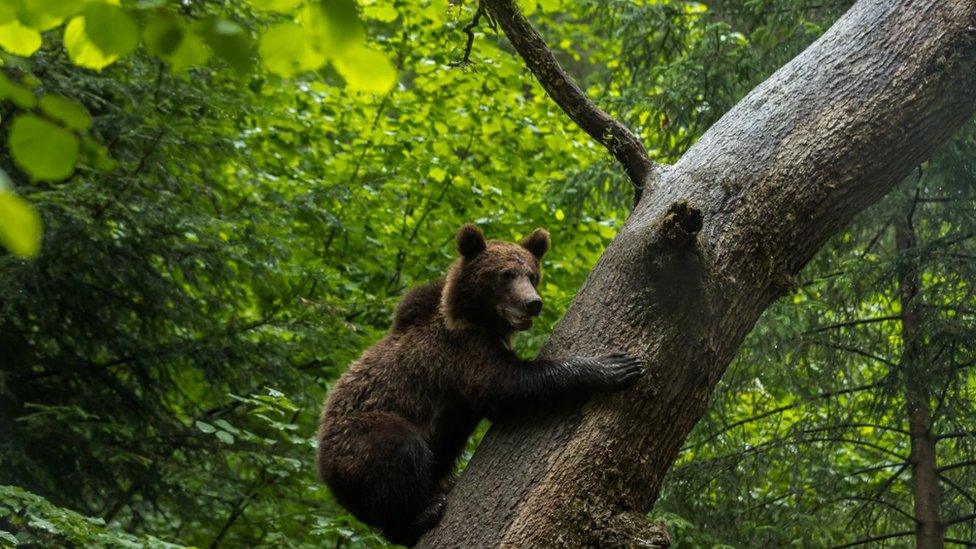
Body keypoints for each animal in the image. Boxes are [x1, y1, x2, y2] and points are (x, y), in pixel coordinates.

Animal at [316, 223, 644, 544]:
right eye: (505, 274)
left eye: (532, 275)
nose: (533, 303)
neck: (480, 320)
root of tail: (323, 467)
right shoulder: (459, 354)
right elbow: (508, 383)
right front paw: (613, 365)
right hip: (360, 435)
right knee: (398, 451)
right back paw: (419, 516)